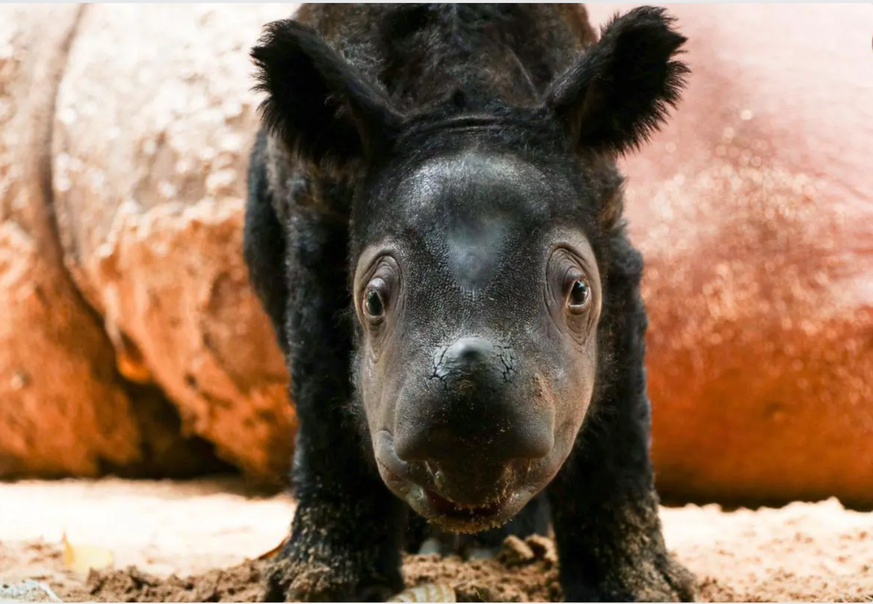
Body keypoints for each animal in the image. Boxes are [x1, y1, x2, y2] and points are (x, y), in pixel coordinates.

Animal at [244, 3, 696, 600]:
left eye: (579, 292)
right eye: (372, 302)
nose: (471, 453)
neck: (468, 100)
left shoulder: (611, 239)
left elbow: (621, 418)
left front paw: (642, 587)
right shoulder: (316, 232)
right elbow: (325, 403)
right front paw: (321, 585)